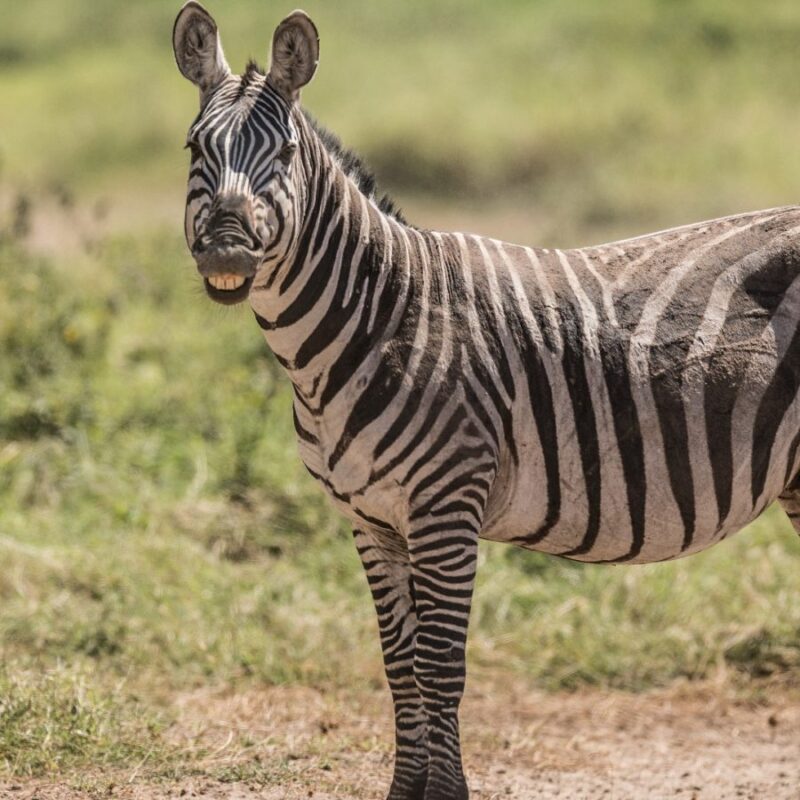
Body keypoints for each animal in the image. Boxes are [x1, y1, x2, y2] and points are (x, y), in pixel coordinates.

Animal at [173, 3, 800, 798]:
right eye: (194, 147)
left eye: (283, 153)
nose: (226, 252)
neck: (379, 320)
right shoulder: (370, 520)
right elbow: (399, 666)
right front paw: (406, 790)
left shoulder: (446, 504)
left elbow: (440, 667)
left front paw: (445, 794)